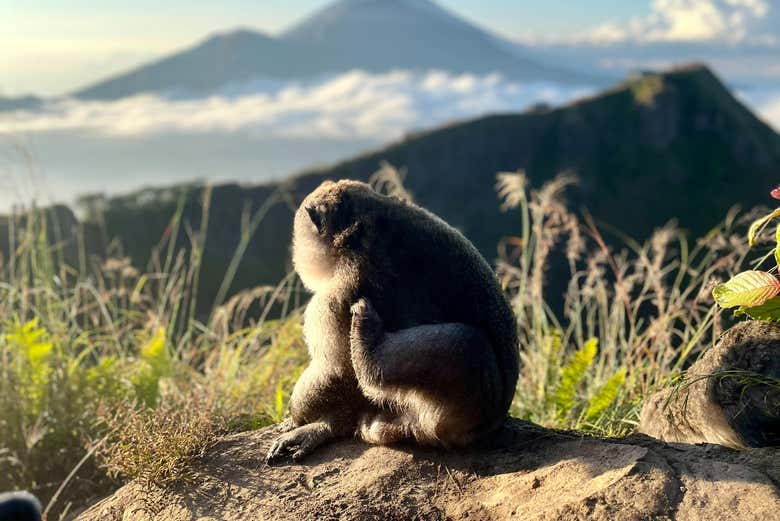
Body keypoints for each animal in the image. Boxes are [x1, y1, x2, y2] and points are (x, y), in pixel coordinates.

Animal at [266, 179, 520, 463]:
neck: (364, 226)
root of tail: (494, 423)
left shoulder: (338, 295)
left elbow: (336, 371)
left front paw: (305, 418)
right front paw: (326, 425)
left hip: (464, 410)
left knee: (466, 342)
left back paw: (369, 350)